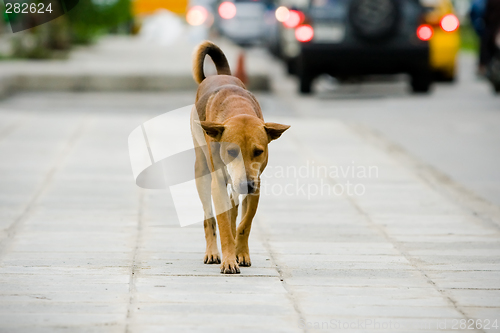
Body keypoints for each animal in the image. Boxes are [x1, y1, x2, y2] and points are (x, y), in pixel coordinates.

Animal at [190, 40, 290, 272]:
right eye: (231, 151)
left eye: (258, 151)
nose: (246, 184)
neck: (238, 109)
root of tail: (220, 75)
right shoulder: (218, 183)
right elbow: (224, 225)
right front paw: (228, 259)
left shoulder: (257, 182)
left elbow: (245, 222)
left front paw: (241, 253)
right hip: (202, 170)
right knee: (209, 217)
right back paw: (212, 252)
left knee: (234, 208)